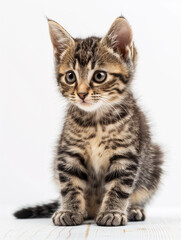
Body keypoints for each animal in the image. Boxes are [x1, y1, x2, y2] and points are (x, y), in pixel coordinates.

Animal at [13, 17, 163, 227]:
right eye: (70, 76)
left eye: (99, 76)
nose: (82, 94)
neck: (96, 121)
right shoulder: (69, 152)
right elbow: (70, 184)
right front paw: (69, 210)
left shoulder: (126, 154)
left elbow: (119, 186)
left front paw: (113, 212)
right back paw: (83, 211)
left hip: (154, 161)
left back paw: (133, 209)